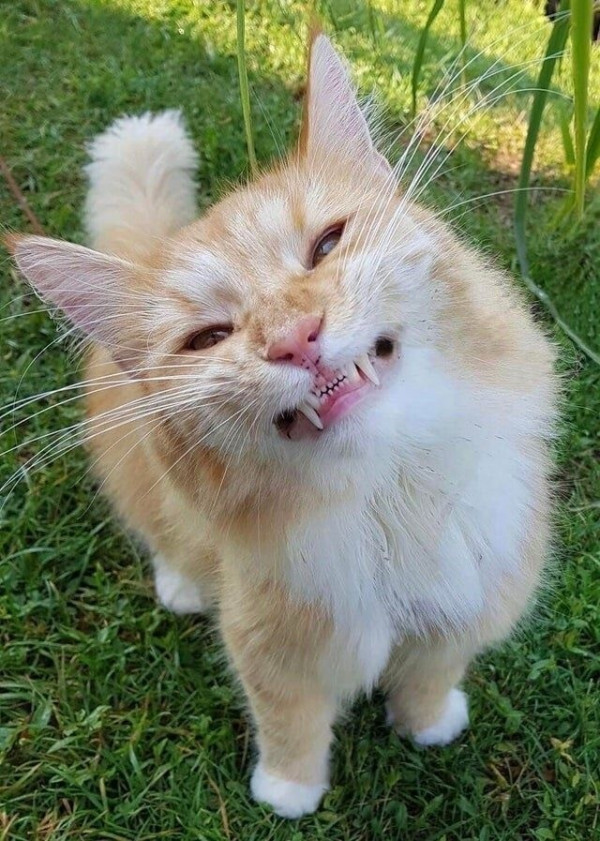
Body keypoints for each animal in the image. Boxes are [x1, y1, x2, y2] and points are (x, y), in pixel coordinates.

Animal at [7, 32, 558, 819]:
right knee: (163, 535)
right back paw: (181, 585)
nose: (296, 339)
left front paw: (427, 725)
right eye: (208, 337)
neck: (390, 501)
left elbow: (430, 674)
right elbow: (289, 724)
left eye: (327, 245)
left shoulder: (466, 603)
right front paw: (288, 793)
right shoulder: (275, 645)